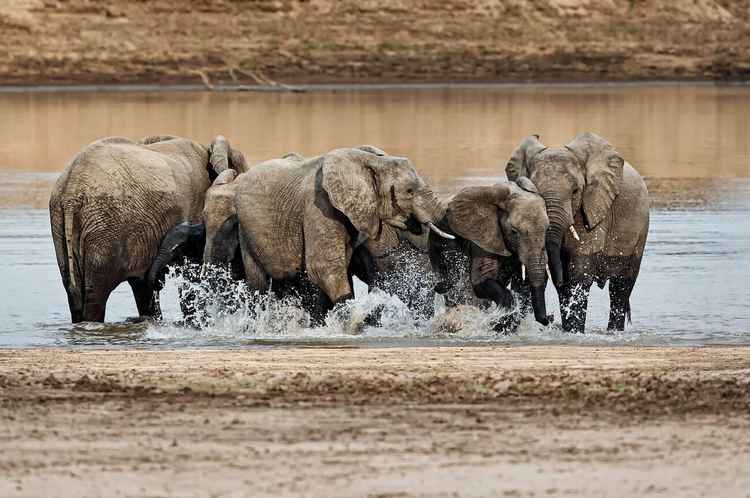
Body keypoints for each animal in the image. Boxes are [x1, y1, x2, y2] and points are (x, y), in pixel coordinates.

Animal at [428, 178, 552, 329]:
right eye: (514, 232)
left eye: (547, 230)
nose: (550, 317)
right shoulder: (482, 236)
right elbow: (480, 281)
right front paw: (502, 316)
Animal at [505, 132, 650, 333]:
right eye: (534, 190)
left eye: (575, 191)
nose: (549, 318)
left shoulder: (594, 208)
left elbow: (578, 275)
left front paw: (574, 332)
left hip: (640, 231)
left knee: (621, 287)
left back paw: (613, 332)